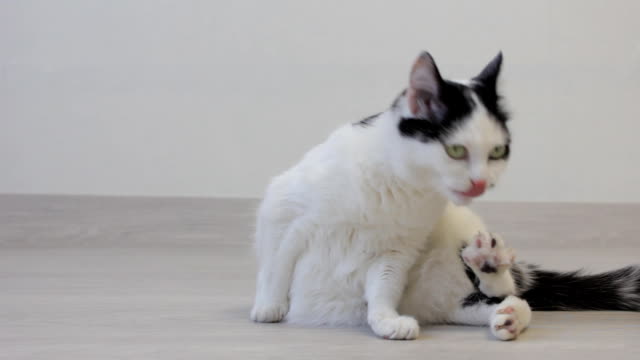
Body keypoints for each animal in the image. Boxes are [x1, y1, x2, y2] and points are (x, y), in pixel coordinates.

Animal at [250, 51, 640, 340]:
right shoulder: (286, 212)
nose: (481, 183)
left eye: (497, 152)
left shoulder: (396, 253)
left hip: (462, 236)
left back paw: (497, 281)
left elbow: (383, 287)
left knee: (506, 291)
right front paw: (270, 307)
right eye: (455, 150)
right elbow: (277, 262)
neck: (400, 187)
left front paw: (385, 318)